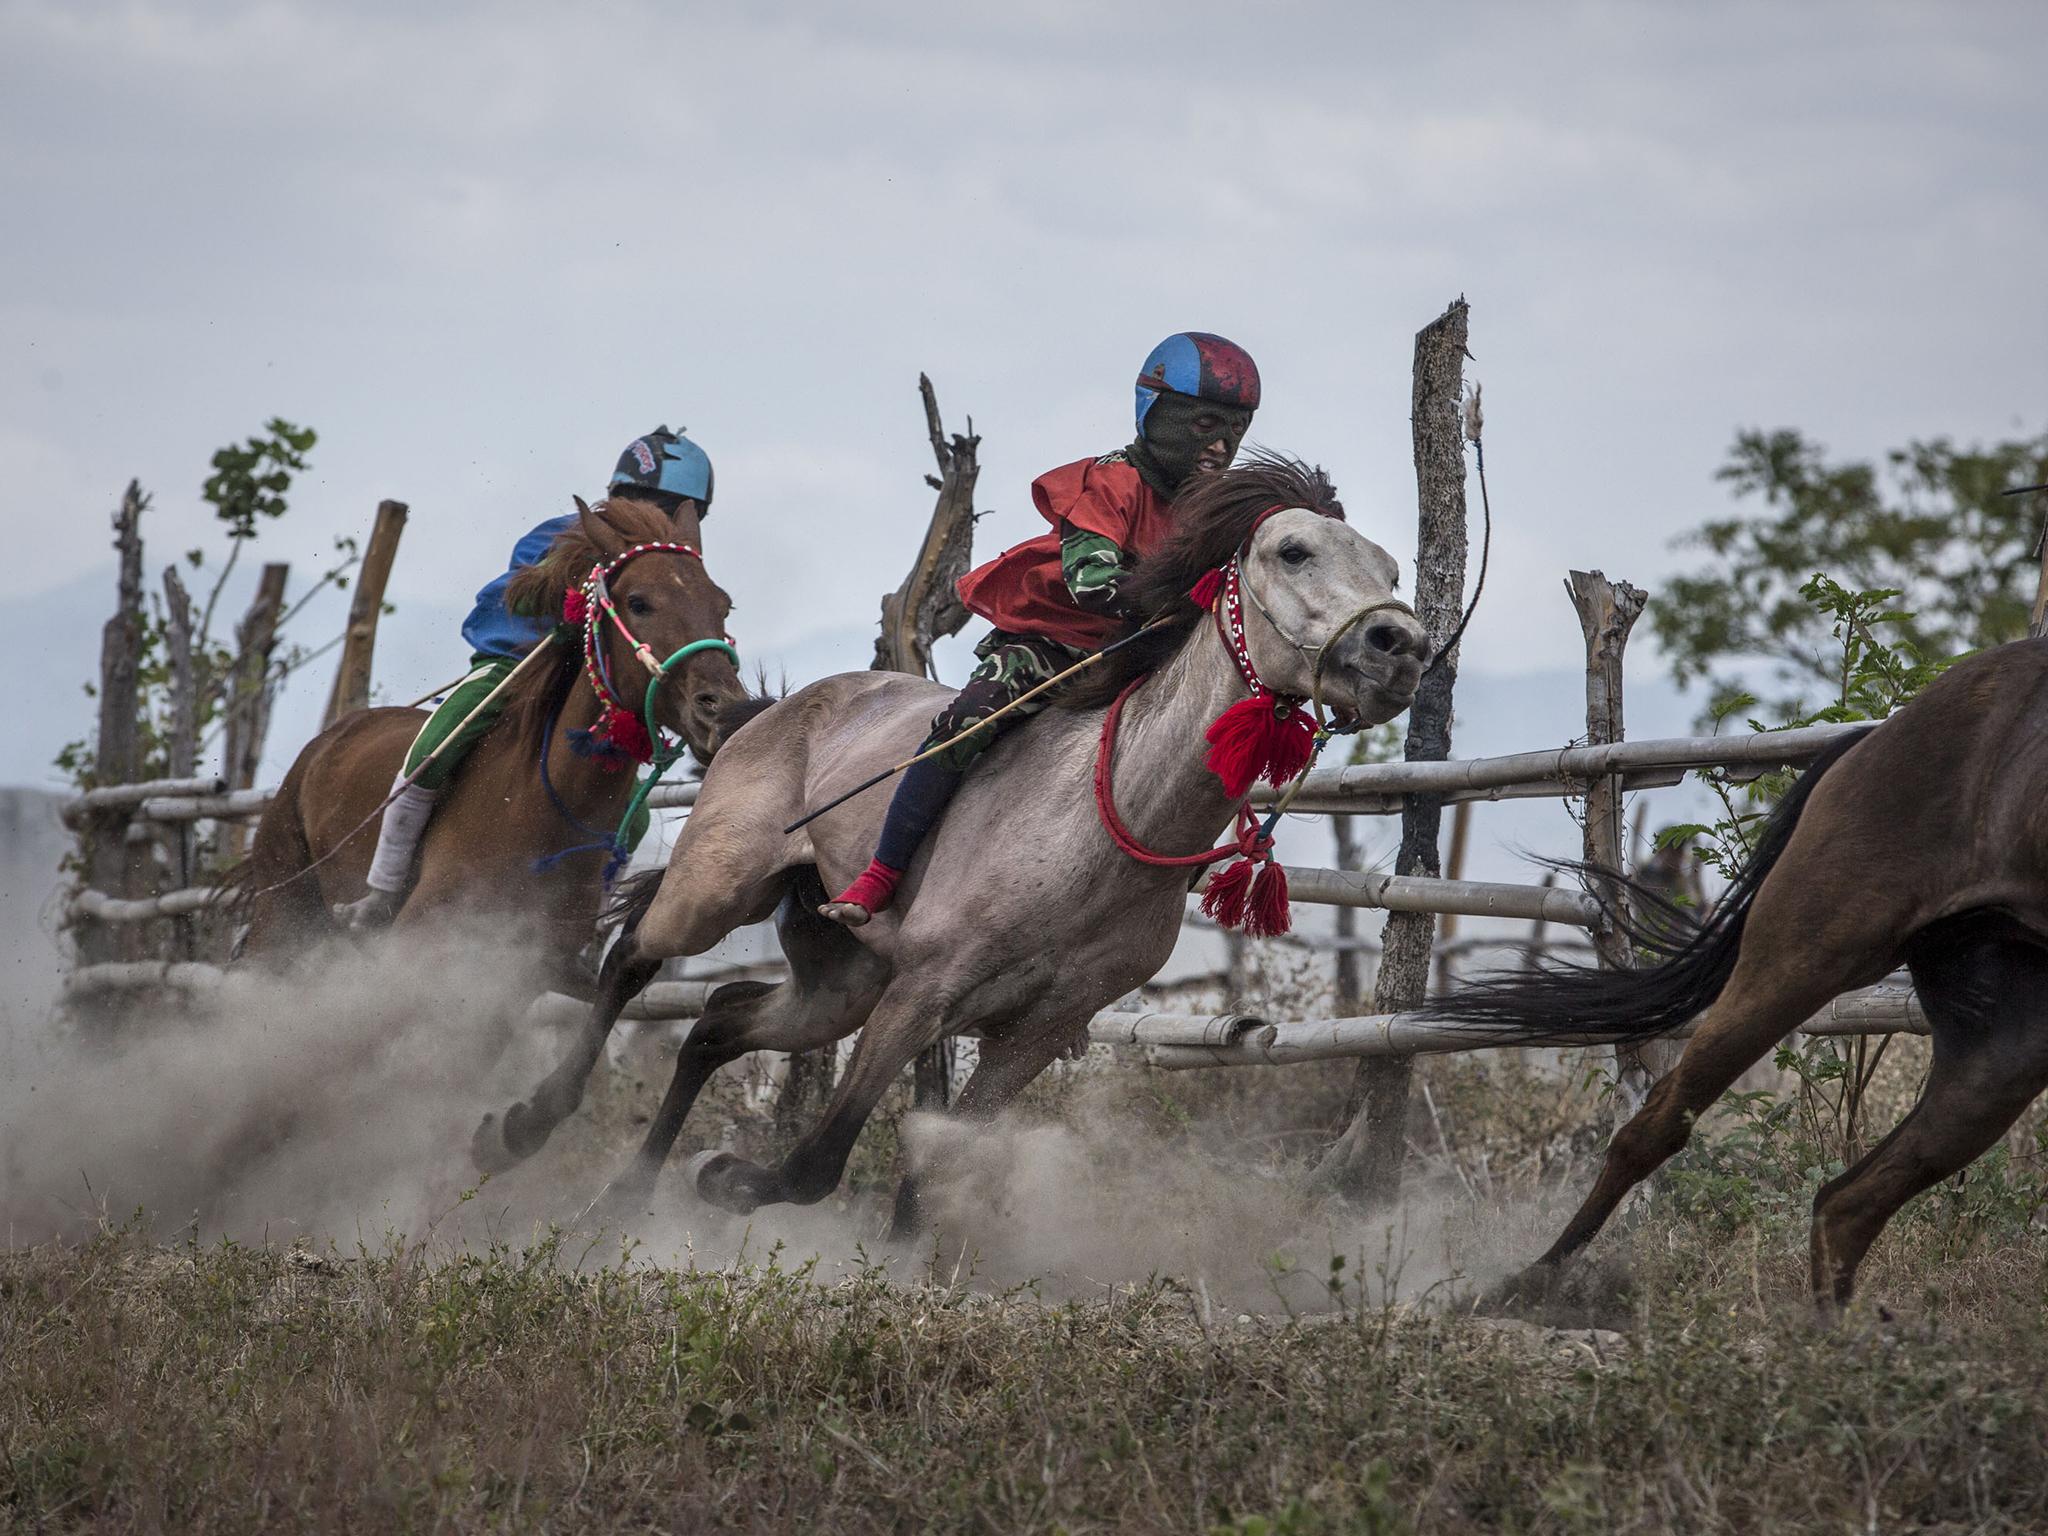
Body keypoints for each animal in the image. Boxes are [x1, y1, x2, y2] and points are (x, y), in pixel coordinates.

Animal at [466, 456, 1433, 1228]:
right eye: (1293, 551)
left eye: (1389, 566)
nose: (1401, 647)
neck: (1104, 833)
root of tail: (763, 711)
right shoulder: (923, 994)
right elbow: (817, 1164)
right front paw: (730, 1179)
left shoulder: (1035, 1032)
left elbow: (933, 1167)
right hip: (721, 885)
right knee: (632, 957)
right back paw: (522, 1128)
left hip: (840, 979)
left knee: (717, 1021)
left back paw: (623, 1197)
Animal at [1433, 638, 2048, 1310]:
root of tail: (1872, 740)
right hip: (1800, 960)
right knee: (1654, 1127)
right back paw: (1526, 1284)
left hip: (2005, 1051)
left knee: (1846, 1203)